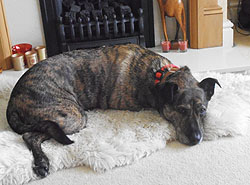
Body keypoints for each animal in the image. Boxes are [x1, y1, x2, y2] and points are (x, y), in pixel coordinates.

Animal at [6, 43, 221, 178]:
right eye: (181, 110)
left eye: (202, 110)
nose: (196, 139)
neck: (160, 75)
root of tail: (13, 100)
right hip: (73, 117)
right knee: (31, 135)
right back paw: (42, 162)